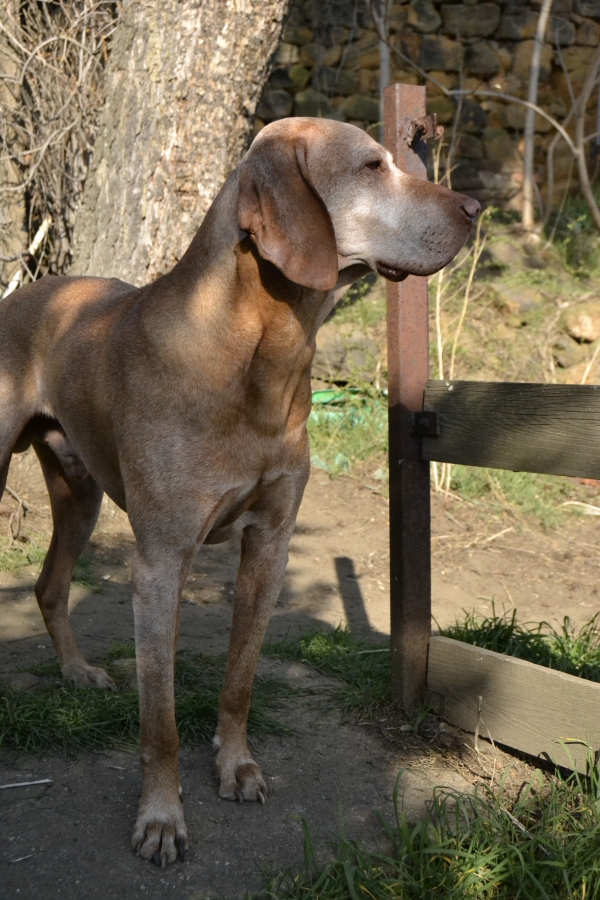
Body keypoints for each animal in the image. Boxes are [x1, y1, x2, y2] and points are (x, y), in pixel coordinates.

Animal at [0, 117, 479, 865]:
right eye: (371, 167)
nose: (476, 208)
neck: (257, 351)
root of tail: (23, 292)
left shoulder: (270, 544)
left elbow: (240, 680)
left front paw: (236, 766)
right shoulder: (161, 561)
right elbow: (160, 721)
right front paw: (161, 818)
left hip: (80, 492)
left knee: (50, 584)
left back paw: (78, 673)